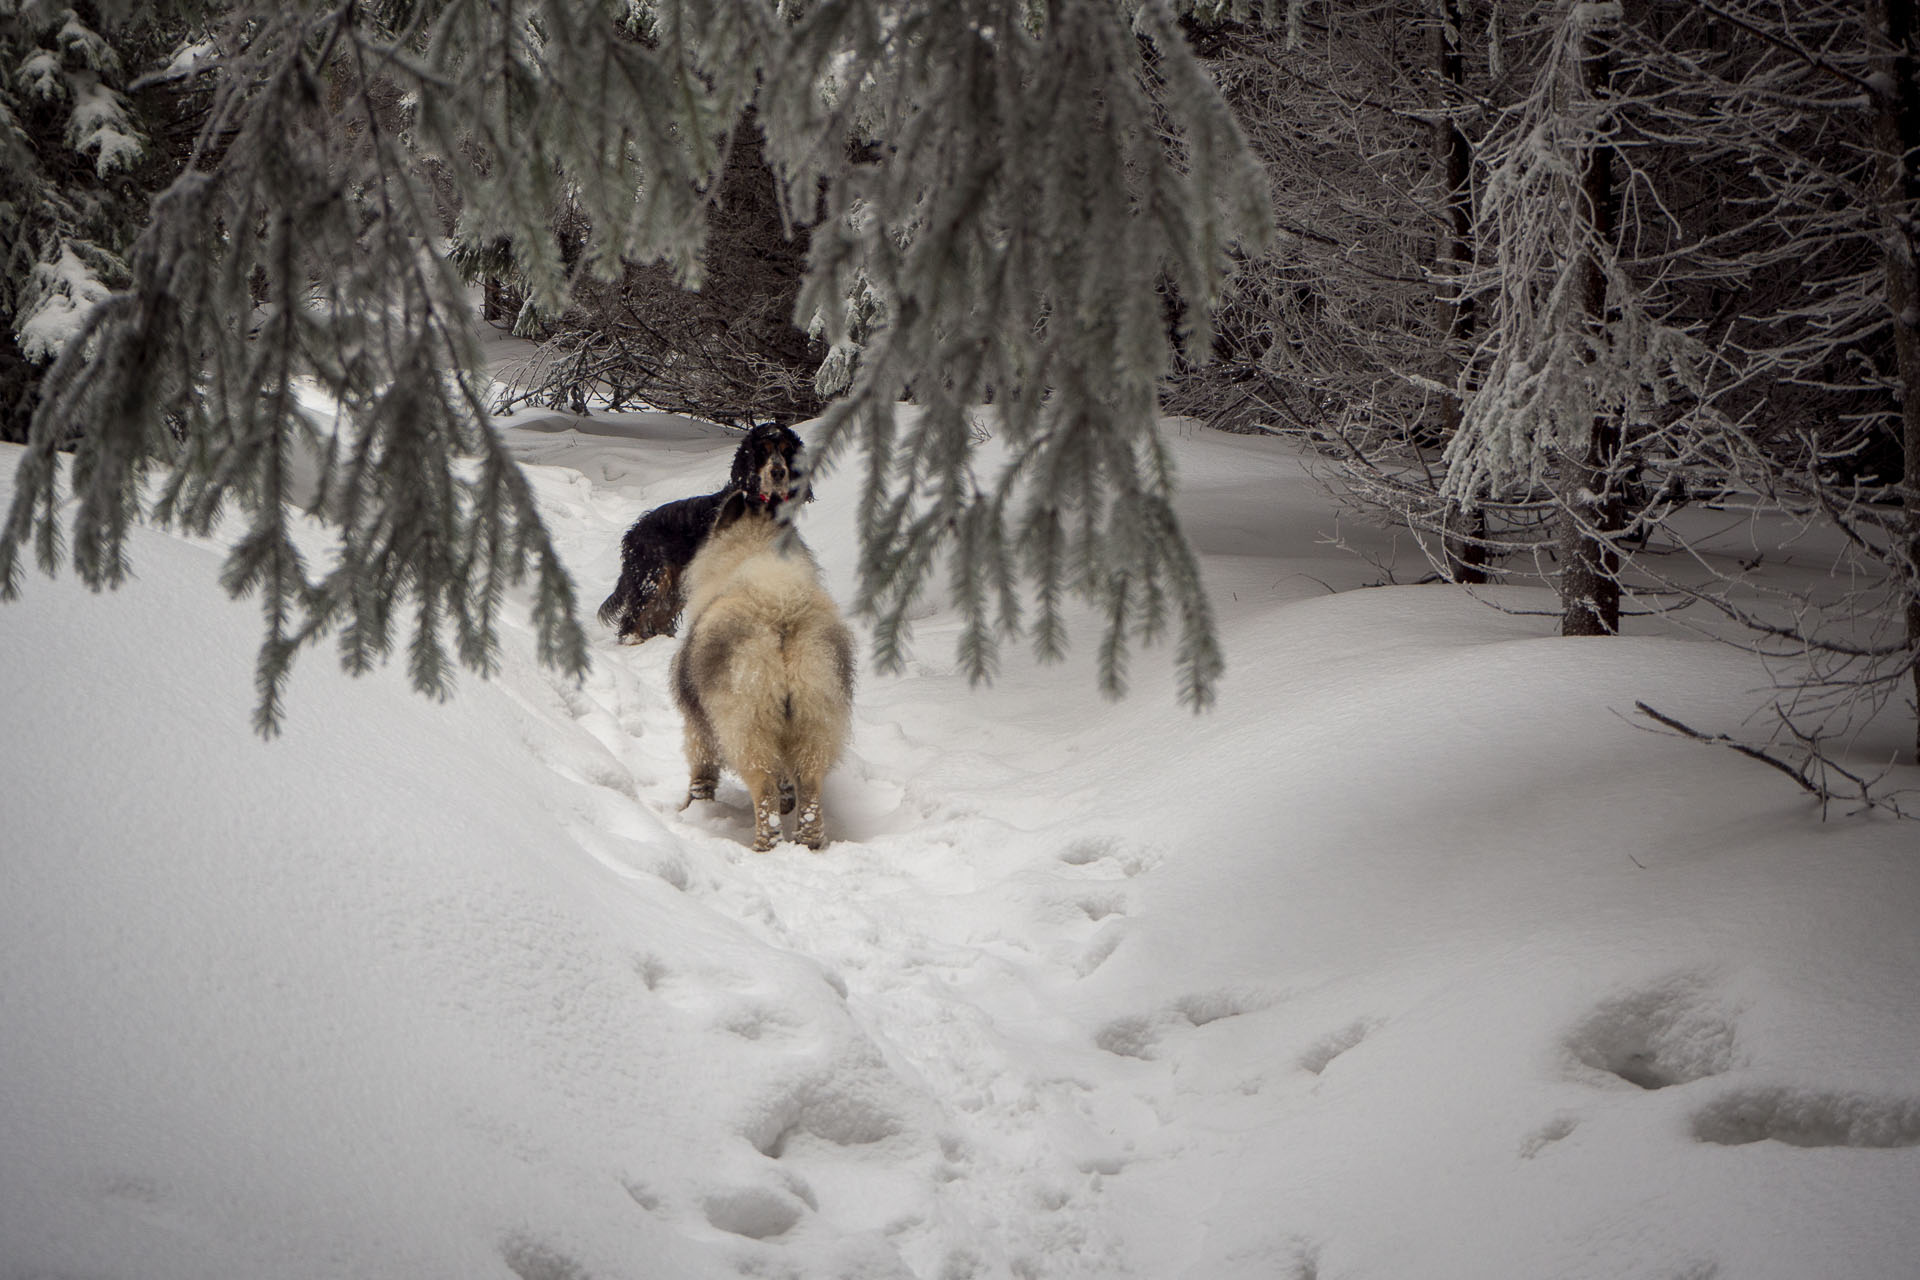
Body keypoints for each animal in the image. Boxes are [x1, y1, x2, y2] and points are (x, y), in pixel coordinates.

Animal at [599, 422, 810, 644]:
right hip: (653, 576)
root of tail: (633, 532)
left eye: (787, 450)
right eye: (763, 450)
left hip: (675, 585)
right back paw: (634, 640)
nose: (778, 472)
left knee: (658, 617)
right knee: (634, 616)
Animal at [675, 491, 856, 852]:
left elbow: (701, 769)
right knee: (809, 789)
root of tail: (780, 613)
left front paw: (692, 807)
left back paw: (764, 844)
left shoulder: (698, 723)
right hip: (816, 719)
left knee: (764, 790)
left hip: (747, 727)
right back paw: (808, 840)